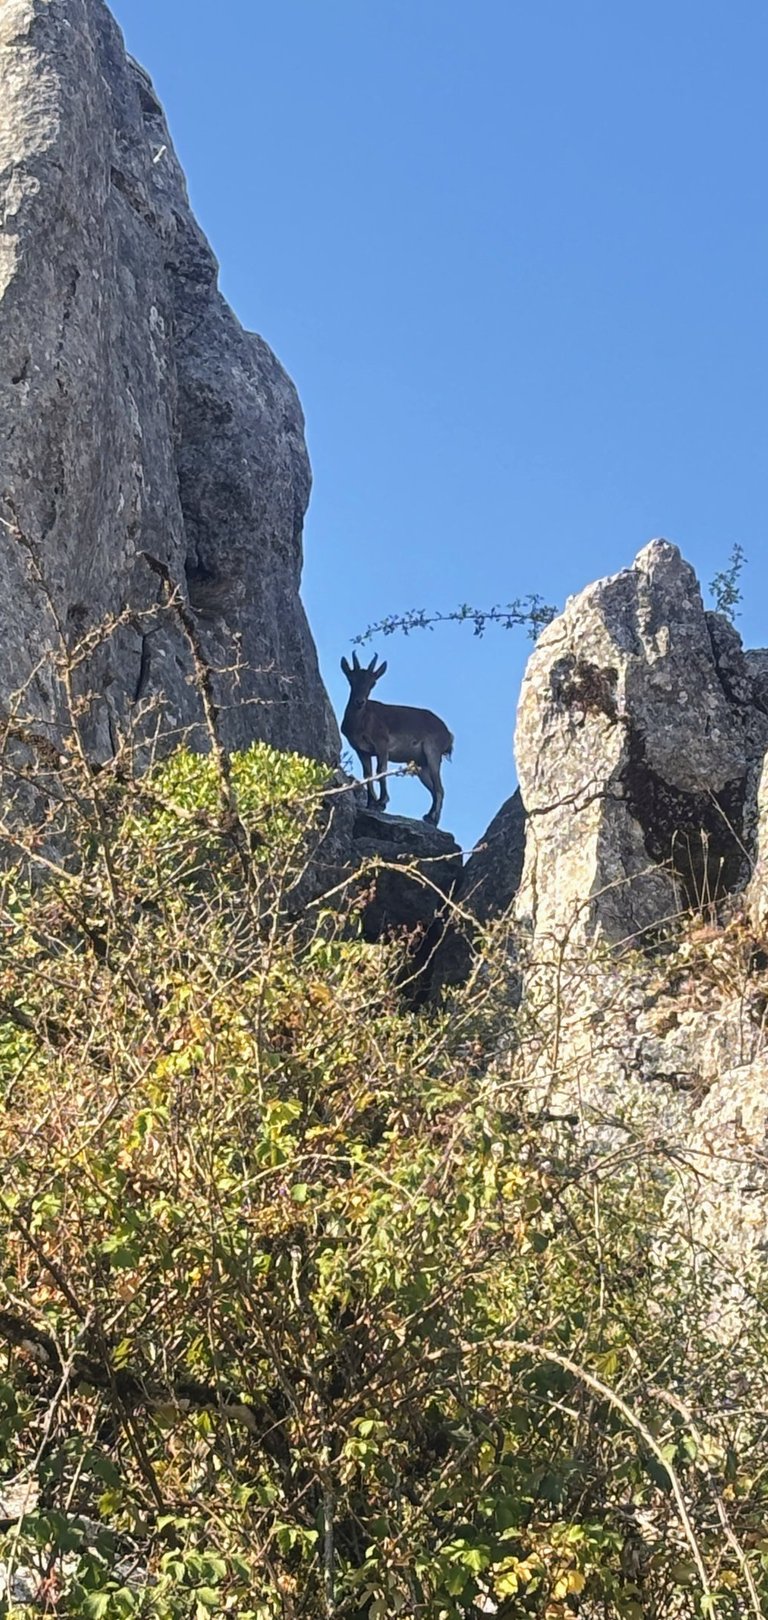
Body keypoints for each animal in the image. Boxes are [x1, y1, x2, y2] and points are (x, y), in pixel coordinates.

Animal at [340, 652, 453, 826]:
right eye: (351, 679)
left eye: (373, 683)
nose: (360, 702)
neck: (362, 721)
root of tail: (448, 735)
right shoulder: (362, 751)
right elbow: (368, 774)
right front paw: (370, 803)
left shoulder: (382, 744)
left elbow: (381, 770)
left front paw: (382, 802)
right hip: (422, 765)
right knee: (434, 789)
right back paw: (429, 817)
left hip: (432, 753)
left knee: (439, 789)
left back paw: (433, 819)